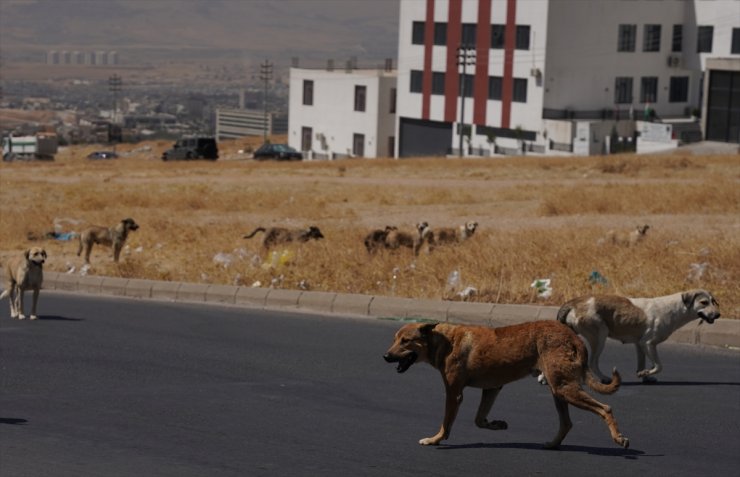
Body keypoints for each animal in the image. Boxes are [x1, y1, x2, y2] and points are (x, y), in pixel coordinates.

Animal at [382, 320, 632, 450]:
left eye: (406, 341)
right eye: (395, 339)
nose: (385, 356)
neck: (444, 340)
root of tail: (574, 337)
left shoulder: (454, 394)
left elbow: (446, 424)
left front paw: (435, 440)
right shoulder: (492, 388)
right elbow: (479, 419)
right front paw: (496, 424)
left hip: (564, 389)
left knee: (605, 409)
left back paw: (618, 438)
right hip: (558, 391)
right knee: (567, 423)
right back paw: (552, 444)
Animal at [556, 286, 720, 384]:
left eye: (713, 301)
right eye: (704, 302)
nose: (718, 315)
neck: (676, 308)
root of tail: (573, 302)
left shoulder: (640, 344)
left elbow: (642, 363)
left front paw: (644, 375)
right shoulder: (648, 343)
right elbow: (659, 365)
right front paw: (645, 373)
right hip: (600, 337)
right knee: (592, 363)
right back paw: (604, 378)